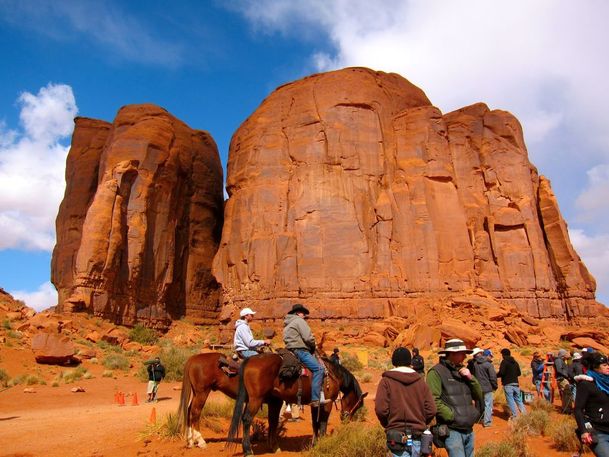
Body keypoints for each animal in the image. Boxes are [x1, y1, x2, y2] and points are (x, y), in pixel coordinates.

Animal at [226, 352, 364, 452]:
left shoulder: (315, 404)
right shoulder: (327, 404)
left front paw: (315, 444)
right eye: (357, 404)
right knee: (247, 419)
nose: (346, 419)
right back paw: (248, 450)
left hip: (258, 400)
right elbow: (323, 424)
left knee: (267, 420)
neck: (332, 374)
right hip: (256, 399)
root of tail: (249, 360)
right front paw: (323, 443)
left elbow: (315, 424)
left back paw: (274, 448)